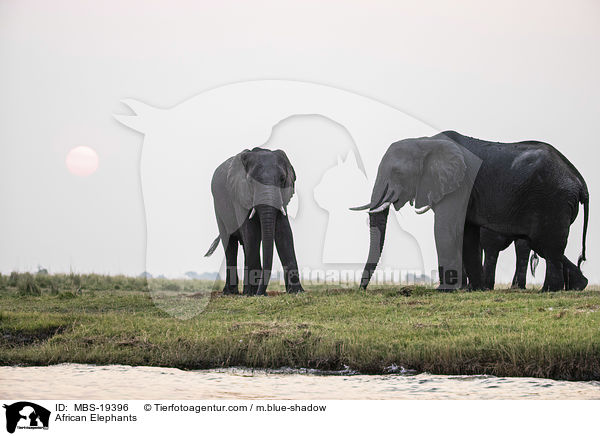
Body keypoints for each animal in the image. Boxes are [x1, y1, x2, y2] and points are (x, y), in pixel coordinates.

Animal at [205, 148, 302, 294]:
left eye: (282, 179)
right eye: (251, 181)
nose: (262, 293)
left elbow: (284, 231)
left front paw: (296, 292)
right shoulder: (238, 194)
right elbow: (251, 231)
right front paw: (254, 294)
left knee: (245, 246)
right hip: (218, 206)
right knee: (230, 243)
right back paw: (232, 292)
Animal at [354, 130, 588, 292]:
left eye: (397, 172)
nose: (362, 289)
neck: (425, 141)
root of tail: (578, 180)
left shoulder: (458, 186)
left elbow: (444, 230)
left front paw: (444, 291)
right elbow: (467, 235)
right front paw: (475, 290)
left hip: (553, 201)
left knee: (547, 245)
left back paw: (548, 291)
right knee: (545, 246)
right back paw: (575, 286)